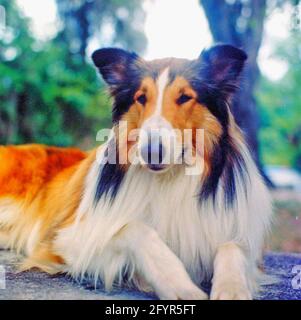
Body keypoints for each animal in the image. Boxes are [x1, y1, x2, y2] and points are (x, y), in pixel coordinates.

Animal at [0, 44, 270, 300]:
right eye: (141, 98)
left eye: (185, 97)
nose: (152, 152)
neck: (170, 179)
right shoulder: (67, 239)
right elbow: (134, 228)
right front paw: (179, 284)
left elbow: (232, 248)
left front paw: (232, 289)